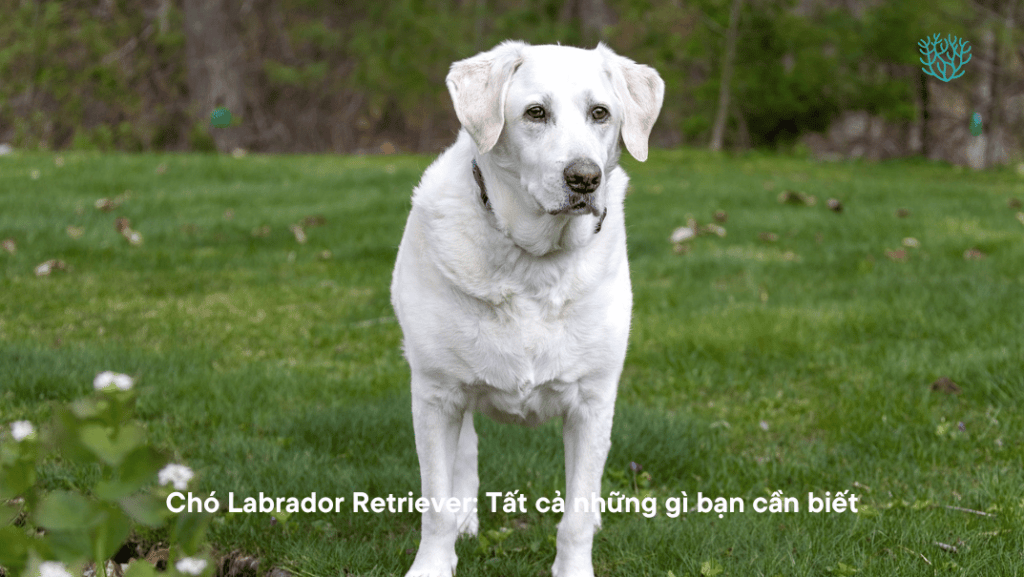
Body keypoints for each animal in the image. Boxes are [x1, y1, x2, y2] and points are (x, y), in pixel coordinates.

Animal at [389, 41, 663, 577]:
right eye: (535, 113)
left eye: (600, 113)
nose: (585, 178)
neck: (534, 263)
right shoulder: (435, 394)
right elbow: (436, 503)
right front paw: (434, 562)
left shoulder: (593, 402)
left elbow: (575, 514)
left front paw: (575, 566)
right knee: (466, 454)